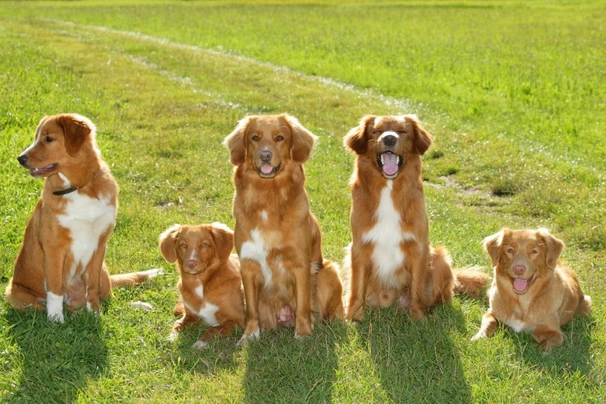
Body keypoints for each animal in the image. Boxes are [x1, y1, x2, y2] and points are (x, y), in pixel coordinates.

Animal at [4, 113, 160, 322]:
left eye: (48, 139)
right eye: (36, 137)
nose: (20, 158)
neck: (79, 188)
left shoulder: (99, 245)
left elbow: (92, 287)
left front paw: (94, 314)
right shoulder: (54, 248)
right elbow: (55, 290)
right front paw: (56, 321)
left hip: (104, 271)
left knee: (110, 300)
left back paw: (136, 306)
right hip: (15, 295)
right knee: (45, 306)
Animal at [344, 114, 492, 322]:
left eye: (402, 131)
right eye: (376, 131)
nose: (389, 139)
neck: (389, 190)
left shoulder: (419, 248)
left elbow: (416, 289)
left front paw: (417, 317)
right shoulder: (358, 247)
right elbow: (356, 287)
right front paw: (353, 316)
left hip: (440, 259)